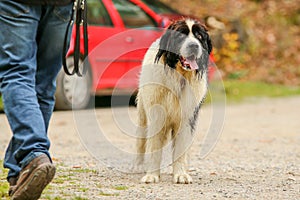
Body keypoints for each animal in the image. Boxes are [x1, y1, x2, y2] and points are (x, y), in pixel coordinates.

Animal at [135, 19, 212, 184]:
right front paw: (152, 175)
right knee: (141, 139)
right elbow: (154, 147)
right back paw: (137, 166)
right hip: (143, 114)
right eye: (181, 35)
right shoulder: (156, 116)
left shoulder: (187, 117)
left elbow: (181, 148)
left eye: (199, 37)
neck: (179, 76)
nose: (194, 46)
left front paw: (181, 174)